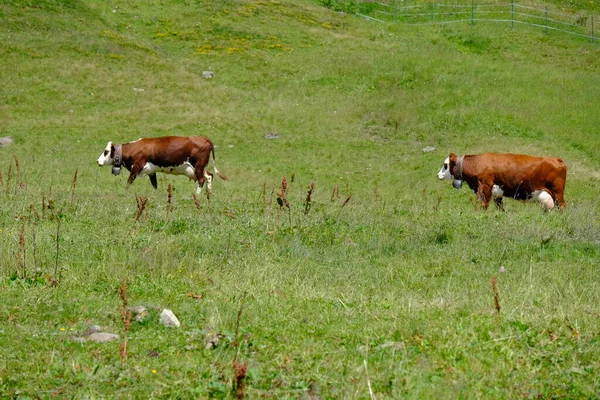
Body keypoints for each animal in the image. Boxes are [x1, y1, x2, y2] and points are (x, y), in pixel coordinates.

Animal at [96, 136, 227, 195]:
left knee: (201, 180)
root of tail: (203, 138)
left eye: (106, 151)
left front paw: (125, 192)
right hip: (200, 168)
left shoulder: (137, 167)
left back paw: (197, 196)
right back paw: (209, 194)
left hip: (198, 166)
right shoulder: (151, 171)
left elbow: (129, 182)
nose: (98, 161)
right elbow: (155, 184)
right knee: (209, 176)